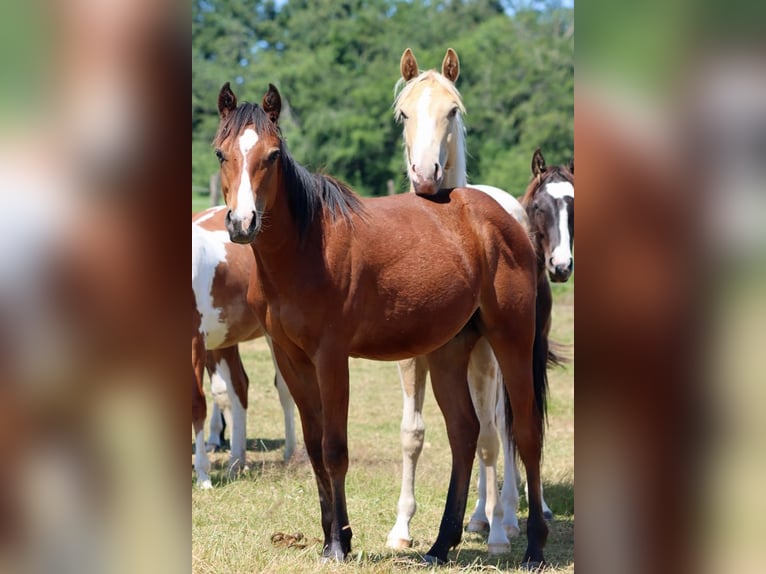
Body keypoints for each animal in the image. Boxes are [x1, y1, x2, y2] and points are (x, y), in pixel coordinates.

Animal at [192, 206, 297, 488]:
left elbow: (196, 404)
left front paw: (203, 476)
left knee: (284, 388)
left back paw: (291, 454)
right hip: (223, 340)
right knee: (238, 387)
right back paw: (236, 461)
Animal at [213, 81, 549, 567]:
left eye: (273, 155)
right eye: (221, 153)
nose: (242, 223)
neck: (306, 249)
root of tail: (509, 221)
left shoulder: (332, 358)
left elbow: (334, 449)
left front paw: (338, 546)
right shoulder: (292, 360)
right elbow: (314, 446)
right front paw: (335, 537)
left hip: (511, 341)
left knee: (525, 433)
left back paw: (535, 547)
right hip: (448, 351)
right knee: (464, 432)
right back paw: (440, 546)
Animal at [389, 48, 572, 554]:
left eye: (453, 111)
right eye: (404, 113)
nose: (425, 175)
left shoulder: (488, 358)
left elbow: (492, 436)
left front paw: (498, 531)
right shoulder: (411, 359)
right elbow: (413, 434)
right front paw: (401, 528)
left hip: (502, 356)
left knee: (504, 427)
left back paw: (504, 518)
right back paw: (479, 515)